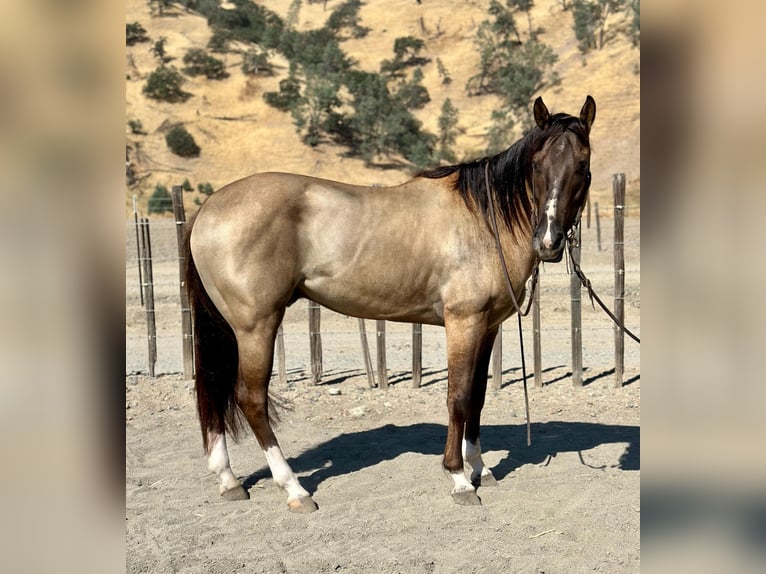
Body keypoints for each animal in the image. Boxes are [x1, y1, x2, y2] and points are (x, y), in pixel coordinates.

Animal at [183, 97, 596, 516]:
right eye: (537, 164)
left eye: (582, 164)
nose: (549, 241)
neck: (484, 218)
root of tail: (208, 207)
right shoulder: (463, 322)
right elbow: (458, 397)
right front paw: (459, 478)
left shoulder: (488, 326)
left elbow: (477, 396)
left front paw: (480, 467)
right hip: (256, 326)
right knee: (251, 399)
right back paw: (294, 489)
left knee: (213, 388)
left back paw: (229, 480)